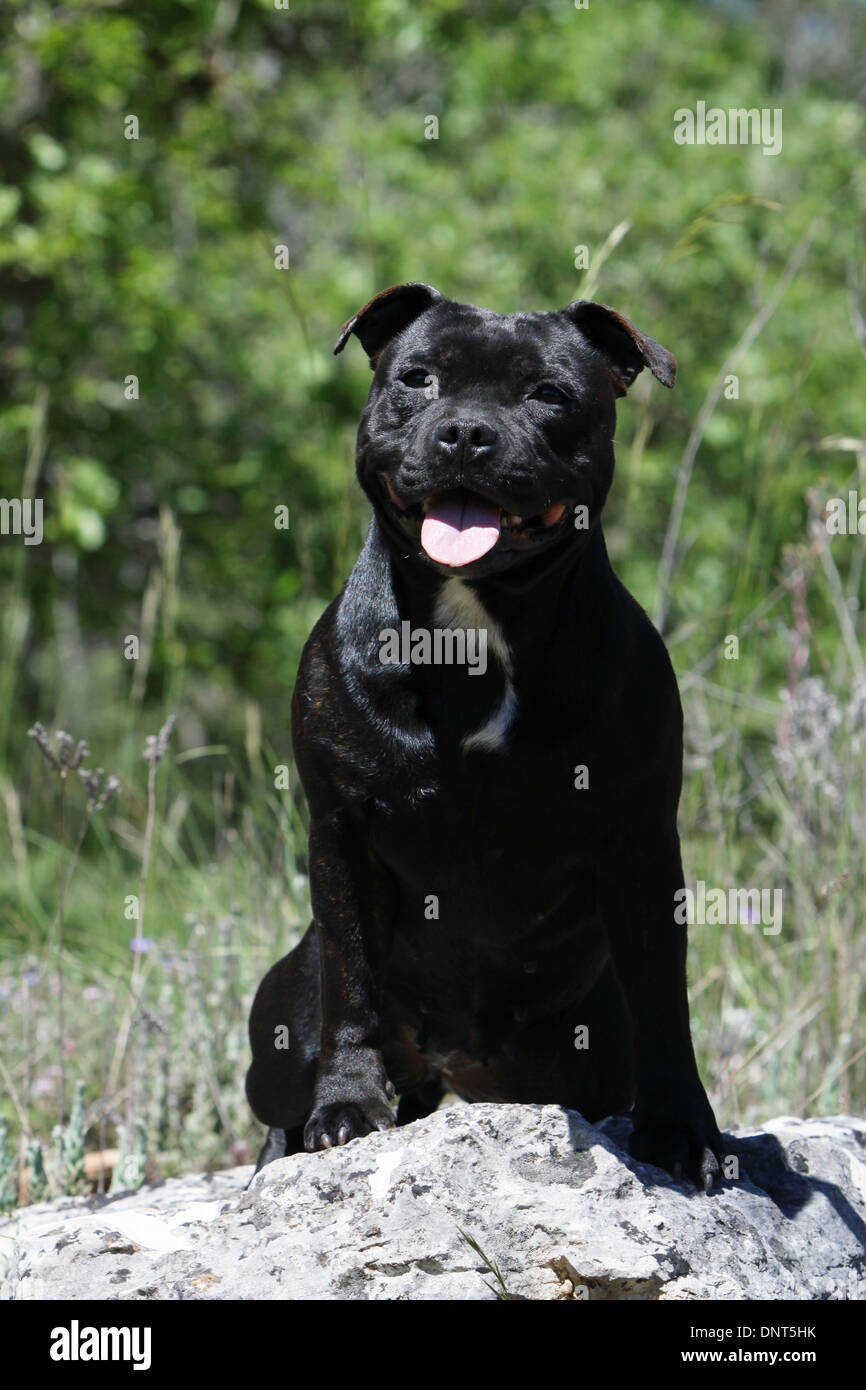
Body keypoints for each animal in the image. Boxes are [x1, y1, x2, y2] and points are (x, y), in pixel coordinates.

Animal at [246, 287, 722, 1189]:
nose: (465, 431)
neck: (475, 626)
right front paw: (346, 1108)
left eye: (549, 394)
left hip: (587, 1053)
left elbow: (664, 1000)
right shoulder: (342, 831)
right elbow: (351, 984)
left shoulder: (641, 841)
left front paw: (684, 1129)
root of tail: (454, 1060)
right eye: (417, 379)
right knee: (287, 1084)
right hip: (282, 1029)